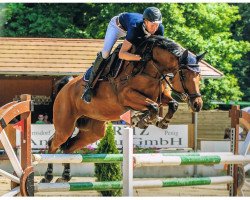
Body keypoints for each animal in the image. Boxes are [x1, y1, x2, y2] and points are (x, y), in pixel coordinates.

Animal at [41, 36, 205, 183]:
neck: (150, 67)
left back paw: (65, 176)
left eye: (199, 76)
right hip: (65, 125)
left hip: (93, 131)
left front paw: (160, 121)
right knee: (53, 143)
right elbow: (152, 106)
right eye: (184, 75)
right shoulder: (127, 96)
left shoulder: (160, 96)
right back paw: (48, 176)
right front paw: (145, 120)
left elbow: (172, 104)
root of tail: (65, 86)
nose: (197, 104)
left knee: (69, 147)